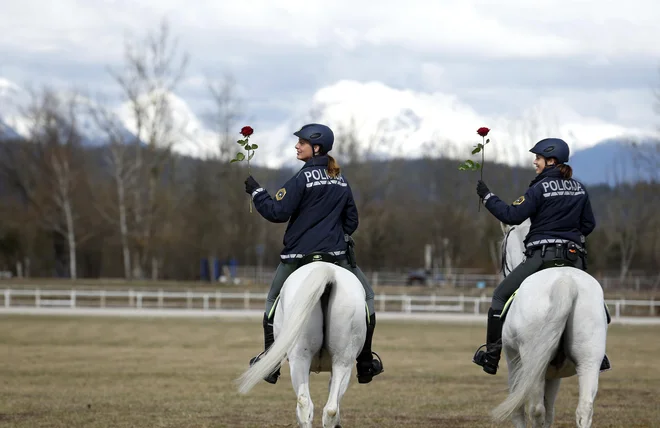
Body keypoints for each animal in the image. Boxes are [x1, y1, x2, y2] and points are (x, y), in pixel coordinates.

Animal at [490, 219, 608, 428]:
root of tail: (565, 281)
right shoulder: (553, 375)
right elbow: (550, 412)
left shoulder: (515, 364)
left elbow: (519, 411)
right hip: (589, 360)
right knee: (584, 409)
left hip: (532, 364)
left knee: (536, 410)